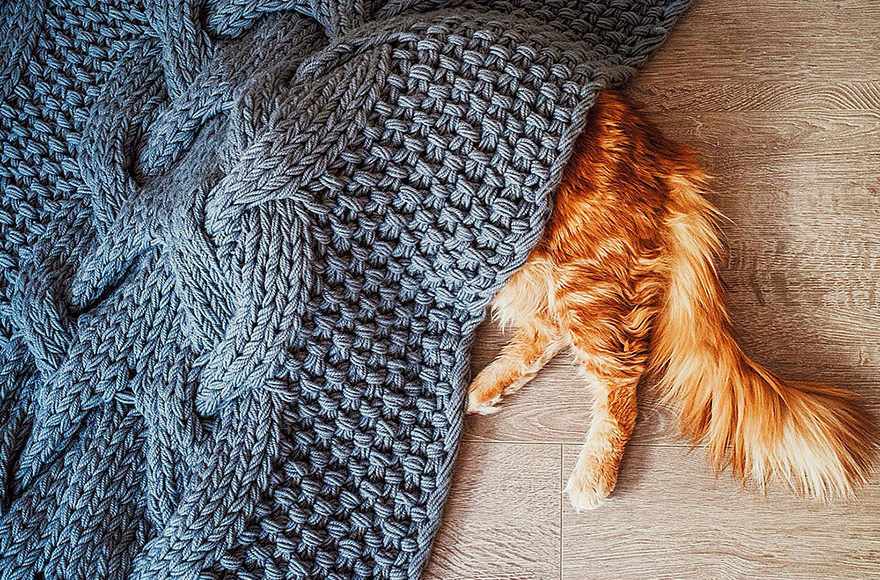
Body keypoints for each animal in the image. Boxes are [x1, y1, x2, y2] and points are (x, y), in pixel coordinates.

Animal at [464, 89, 876, 512]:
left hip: (584, 280)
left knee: (620, 386)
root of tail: (663, 152)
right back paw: (483, 390)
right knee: (549, 331)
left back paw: (591, 479)